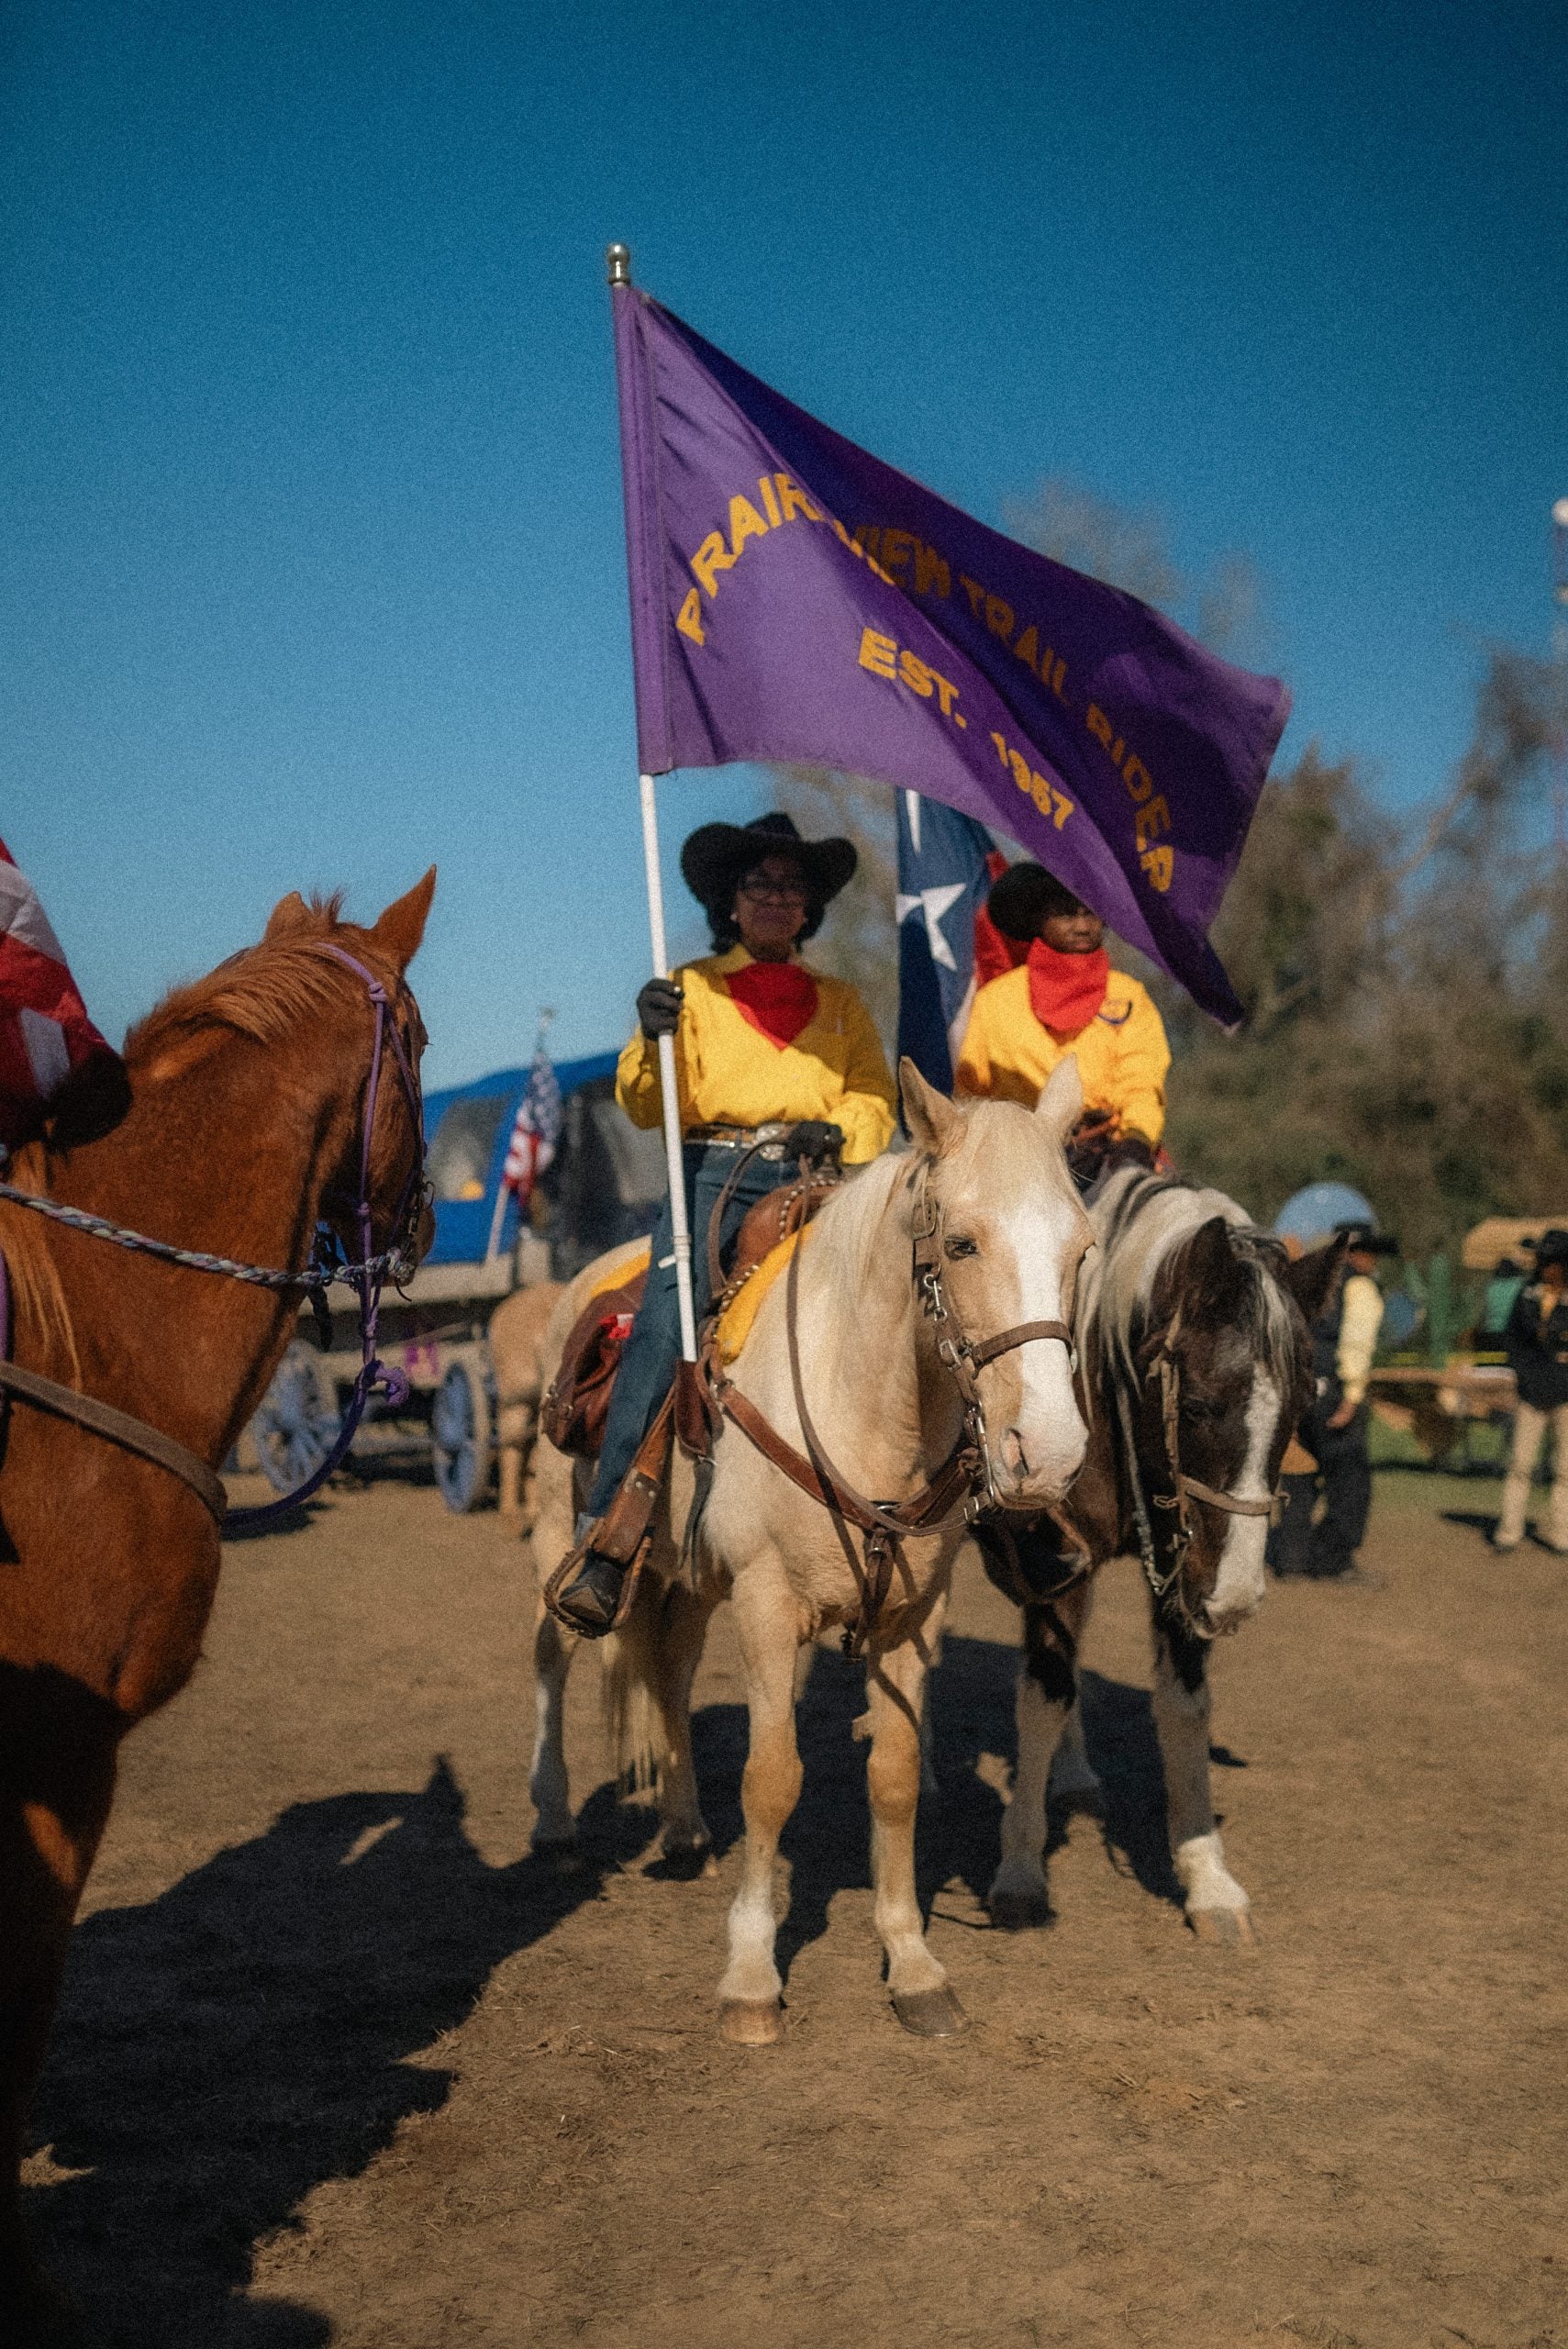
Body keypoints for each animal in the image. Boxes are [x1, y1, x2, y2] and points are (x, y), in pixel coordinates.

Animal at [532, 1062, 1098, 2039]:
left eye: (1081, 1252)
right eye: (960, 1244)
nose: (1050, 1455)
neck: (863, 1404)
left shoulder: (911, 1618)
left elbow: (895, 1778)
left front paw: (912, 1963)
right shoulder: (767, 1606)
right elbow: (772, 1778)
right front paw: (750, 1975)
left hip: (687, 1580)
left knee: (669, 1671)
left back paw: (682, 1828)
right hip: (568, 1532)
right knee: (556, 1648)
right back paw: (553, 1824)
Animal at [985, 1160, 1342, 1944]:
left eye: (1301, 1406)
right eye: (1201, 1405)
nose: (1237, 1598)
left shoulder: (1184, 1570)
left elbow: (1182, 1709)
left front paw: (1206, 1877)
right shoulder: (1053, 1564)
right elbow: (1041, 1698)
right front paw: (1019, 1872)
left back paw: (1075, 1776)